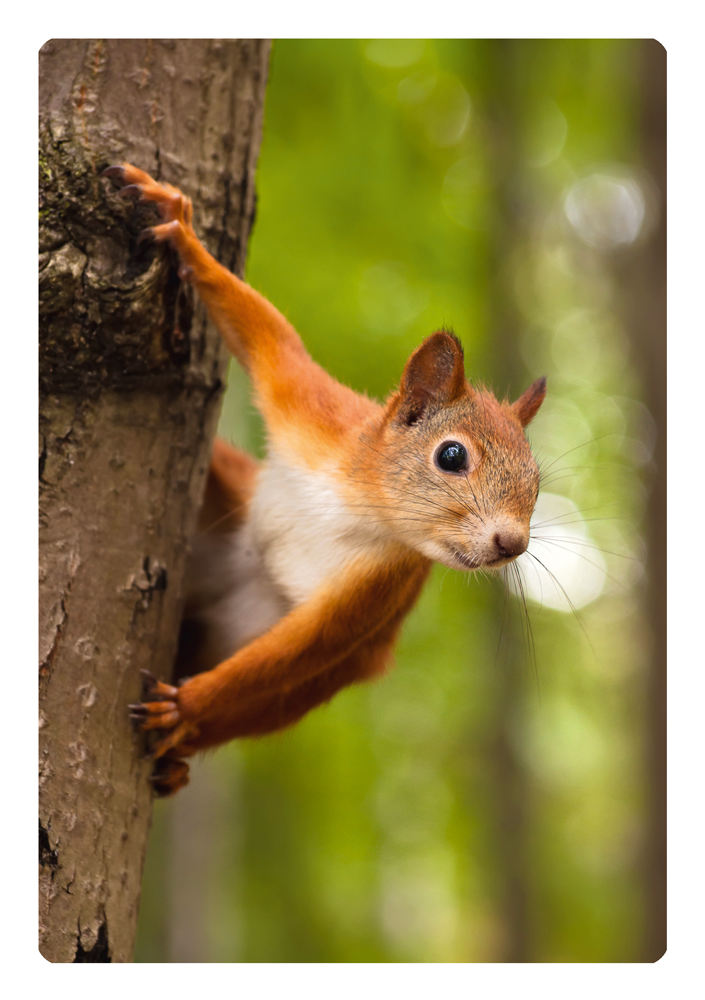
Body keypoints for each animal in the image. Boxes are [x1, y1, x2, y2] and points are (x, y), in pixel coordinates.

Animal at [105, 163, 547, 796]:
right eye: (452, 455)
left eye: (538, 482)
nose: (512, 544)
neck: (355, 500)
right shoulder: (313, 411)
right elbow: (268, 336)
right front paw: (182, 231)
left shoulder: (374, 591)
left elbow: (294, 654)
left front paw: (186, 709)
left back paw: (180, 753)